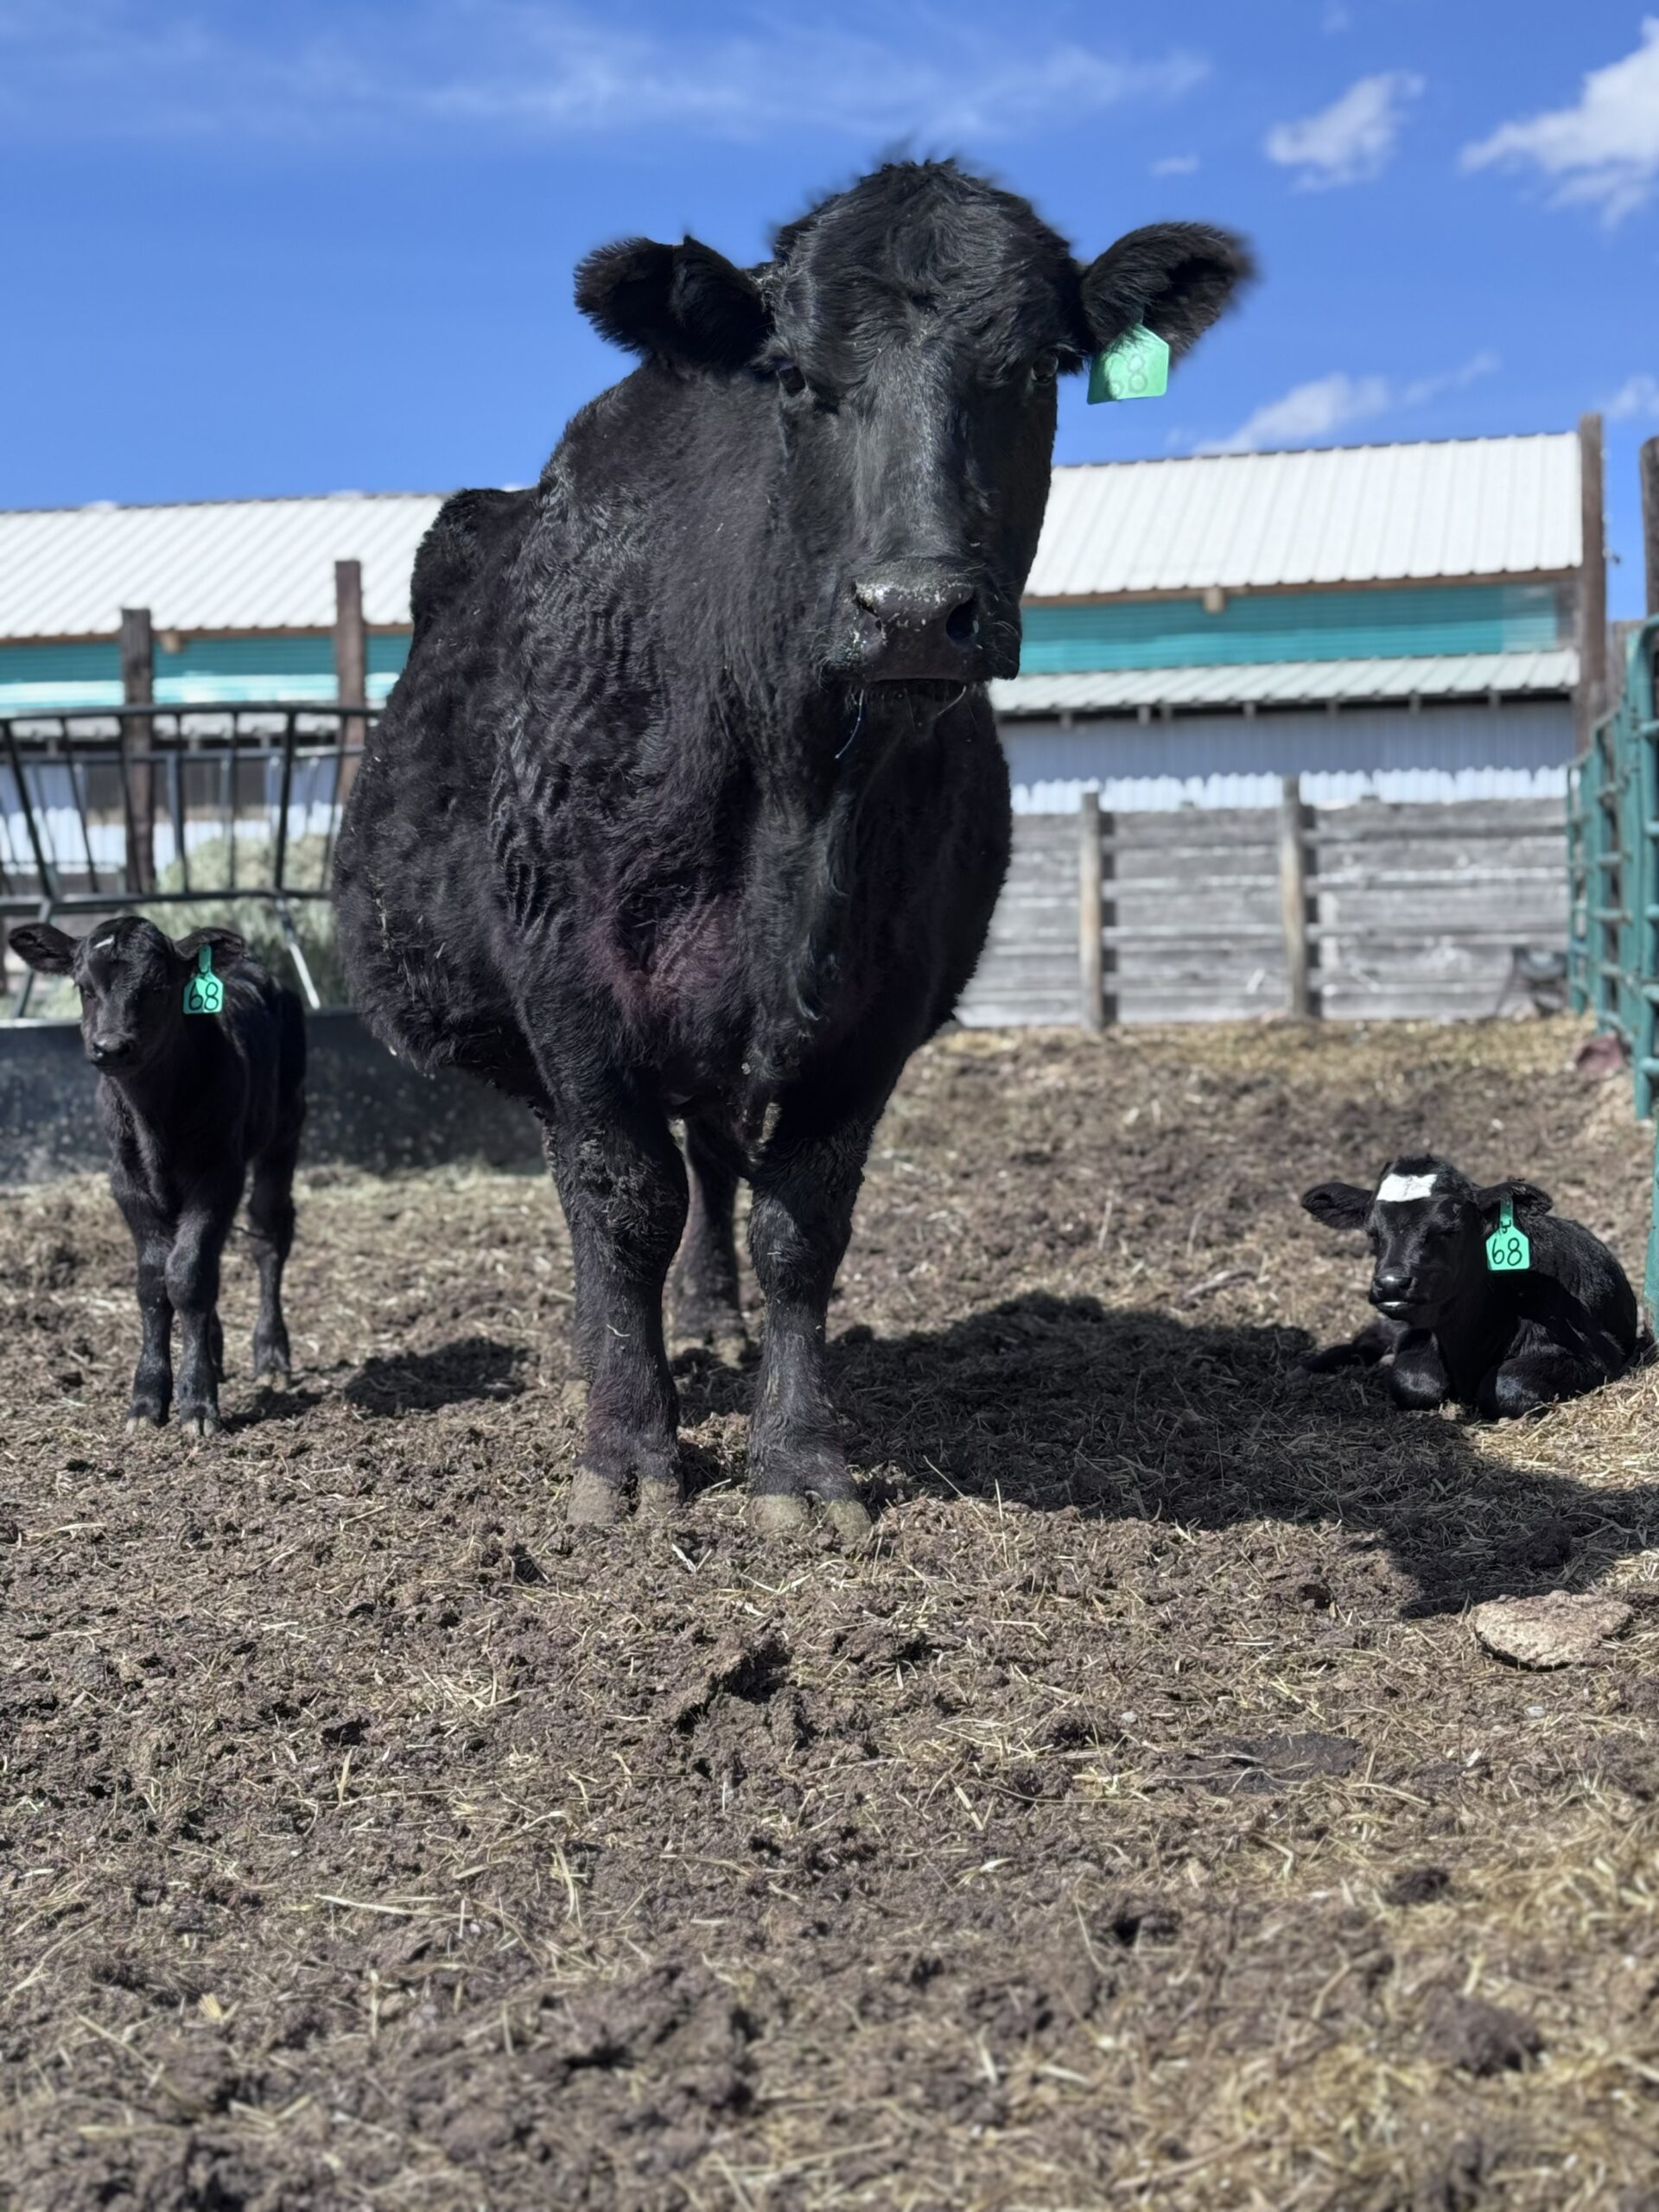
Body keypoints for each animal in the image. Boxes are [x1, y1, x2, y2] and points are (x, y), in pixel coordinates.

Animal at [8, 917, 306, 1436]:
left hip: (285, 1128)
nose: (110, 1047)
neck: (152, 1118)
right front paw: (148, 1398)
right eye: (84, 987)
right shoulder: (126, 1180)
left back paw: (270, 1355)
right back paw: (216, 1351)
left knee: (268, 1234)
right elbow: (154, 1281)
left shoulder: (217, 1174)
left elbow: (188, 1276)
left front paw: (197, 1402)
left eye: (160, 987)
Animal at [334, 159, 1251, 1536]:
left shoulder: (880, 1007)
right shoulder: (569, 987)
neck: (794, 792)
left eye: (1039, 370)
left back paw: (712, 1321)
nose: (916, 610)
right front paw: (628, 1451)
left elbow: (799, 1225)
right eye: (796, 376)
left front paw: (800, 1461)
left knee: (716, 1161)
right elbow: (622, 1201)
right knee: (606, 1185)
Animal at [1300, 1152, 1644, 1417]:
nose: (1391, 1284)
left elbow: (1506, 1384)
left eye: (1449, 1230)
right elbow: (1413, 1381)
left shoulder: (1598, 1354)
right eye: (1372, 1233)